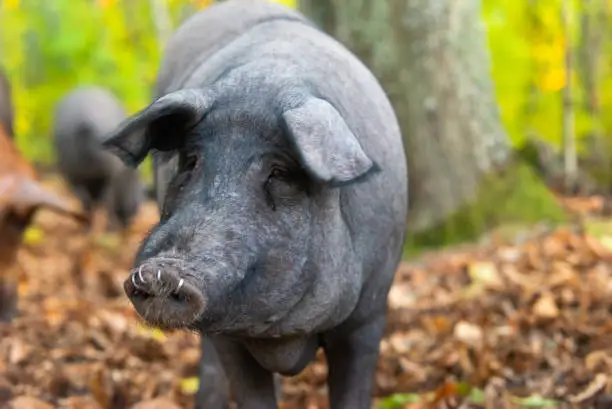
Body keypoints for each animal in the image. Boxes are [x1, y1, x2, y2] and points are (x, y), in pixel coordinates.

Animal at [52, 86, 144, 231]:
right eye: (139, 187)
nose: (130, 222)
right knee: (105, 202)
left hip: (71, 173)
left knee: (87, 200)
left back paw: (89, 228)